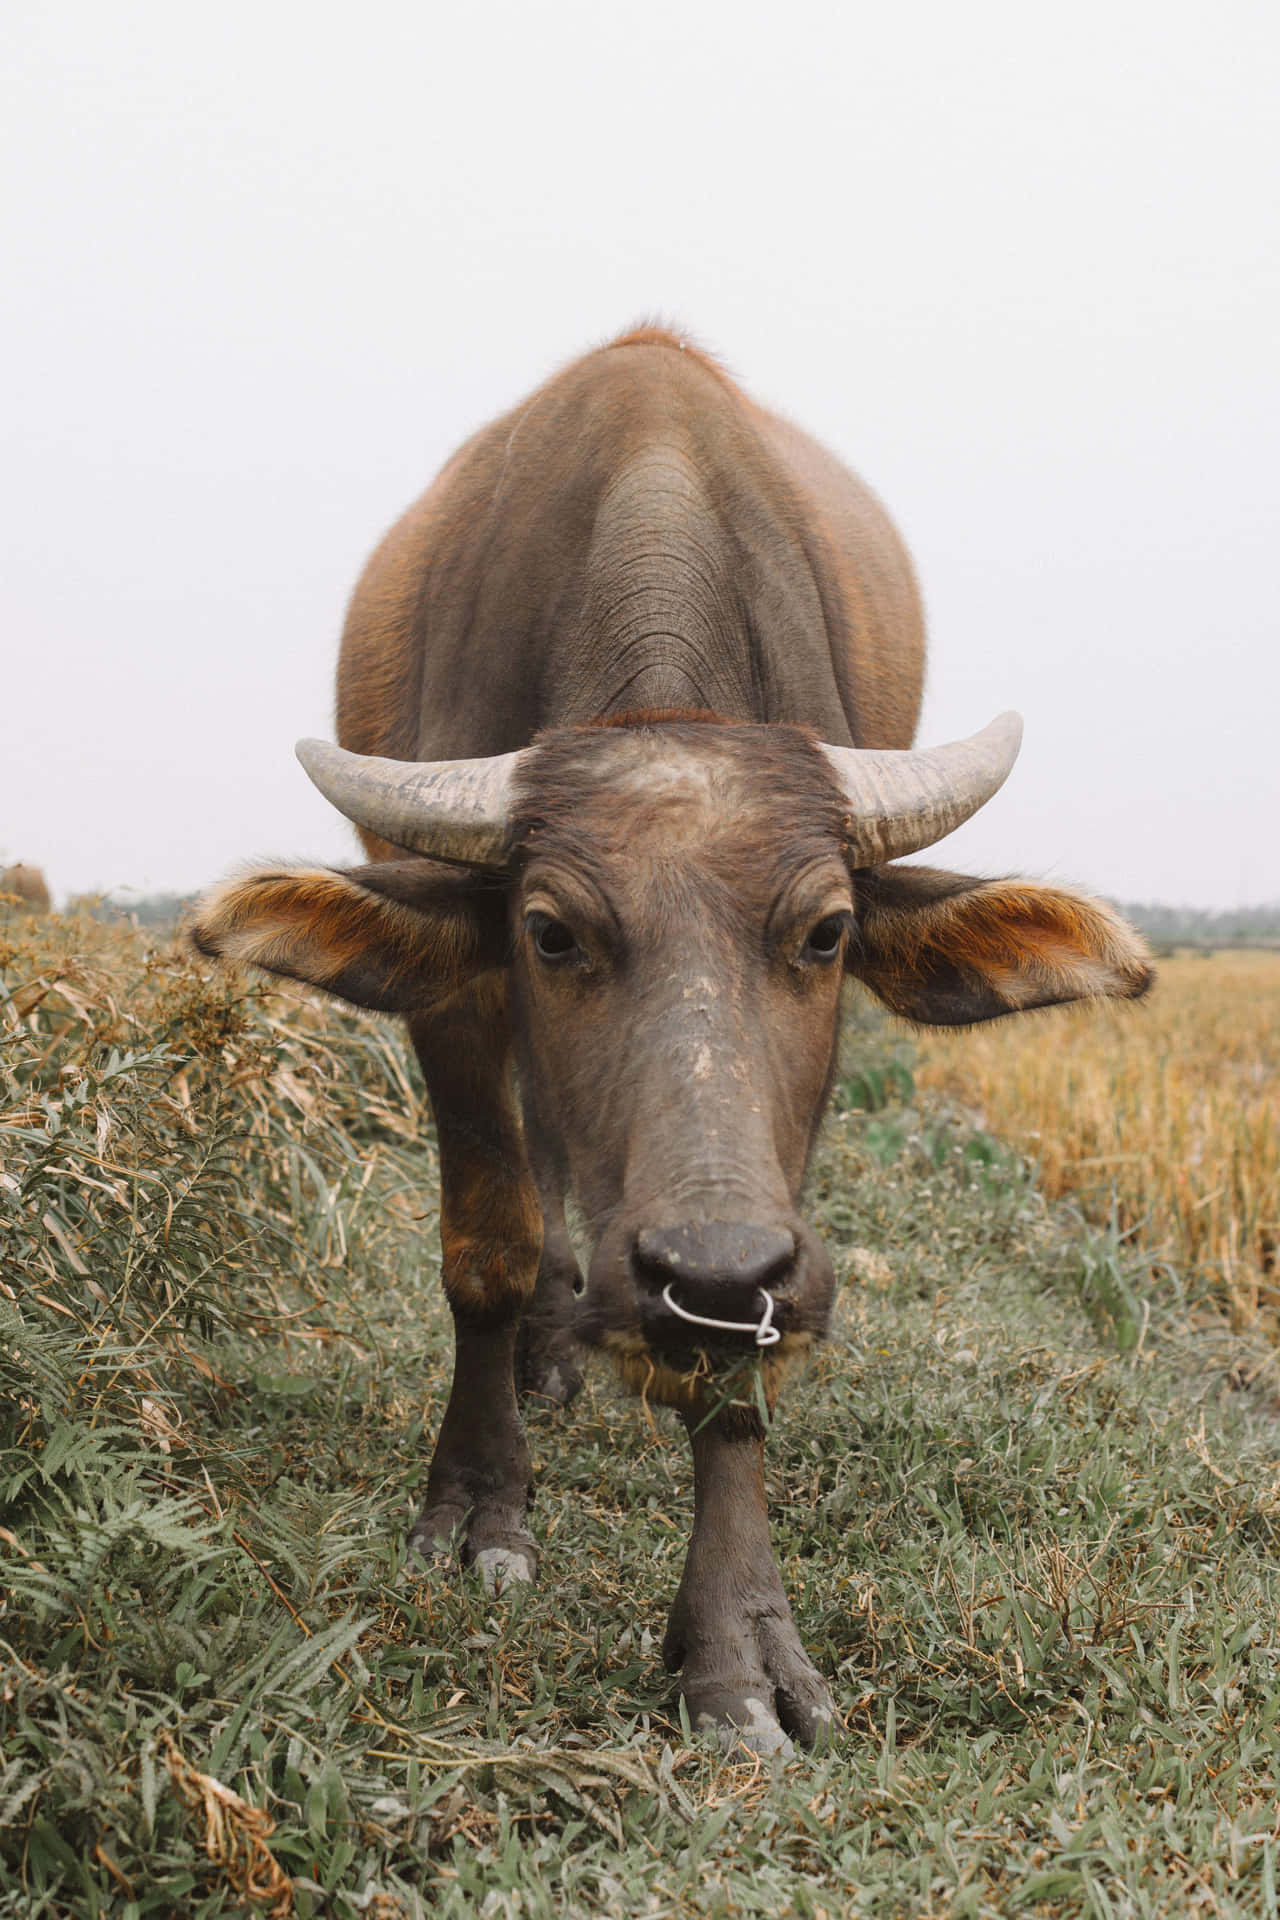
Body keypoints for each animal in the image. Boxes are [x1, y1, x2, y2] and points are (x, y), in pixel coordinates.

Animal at [195, 334, 1159, 1758]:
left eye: (825, 932)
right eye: (548, 930)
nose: (700, 1271)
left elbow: (735, 1378)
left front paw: (738, 1646)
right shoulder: (461, 1004)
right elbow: (485, 1247)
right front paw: (478, 1506)